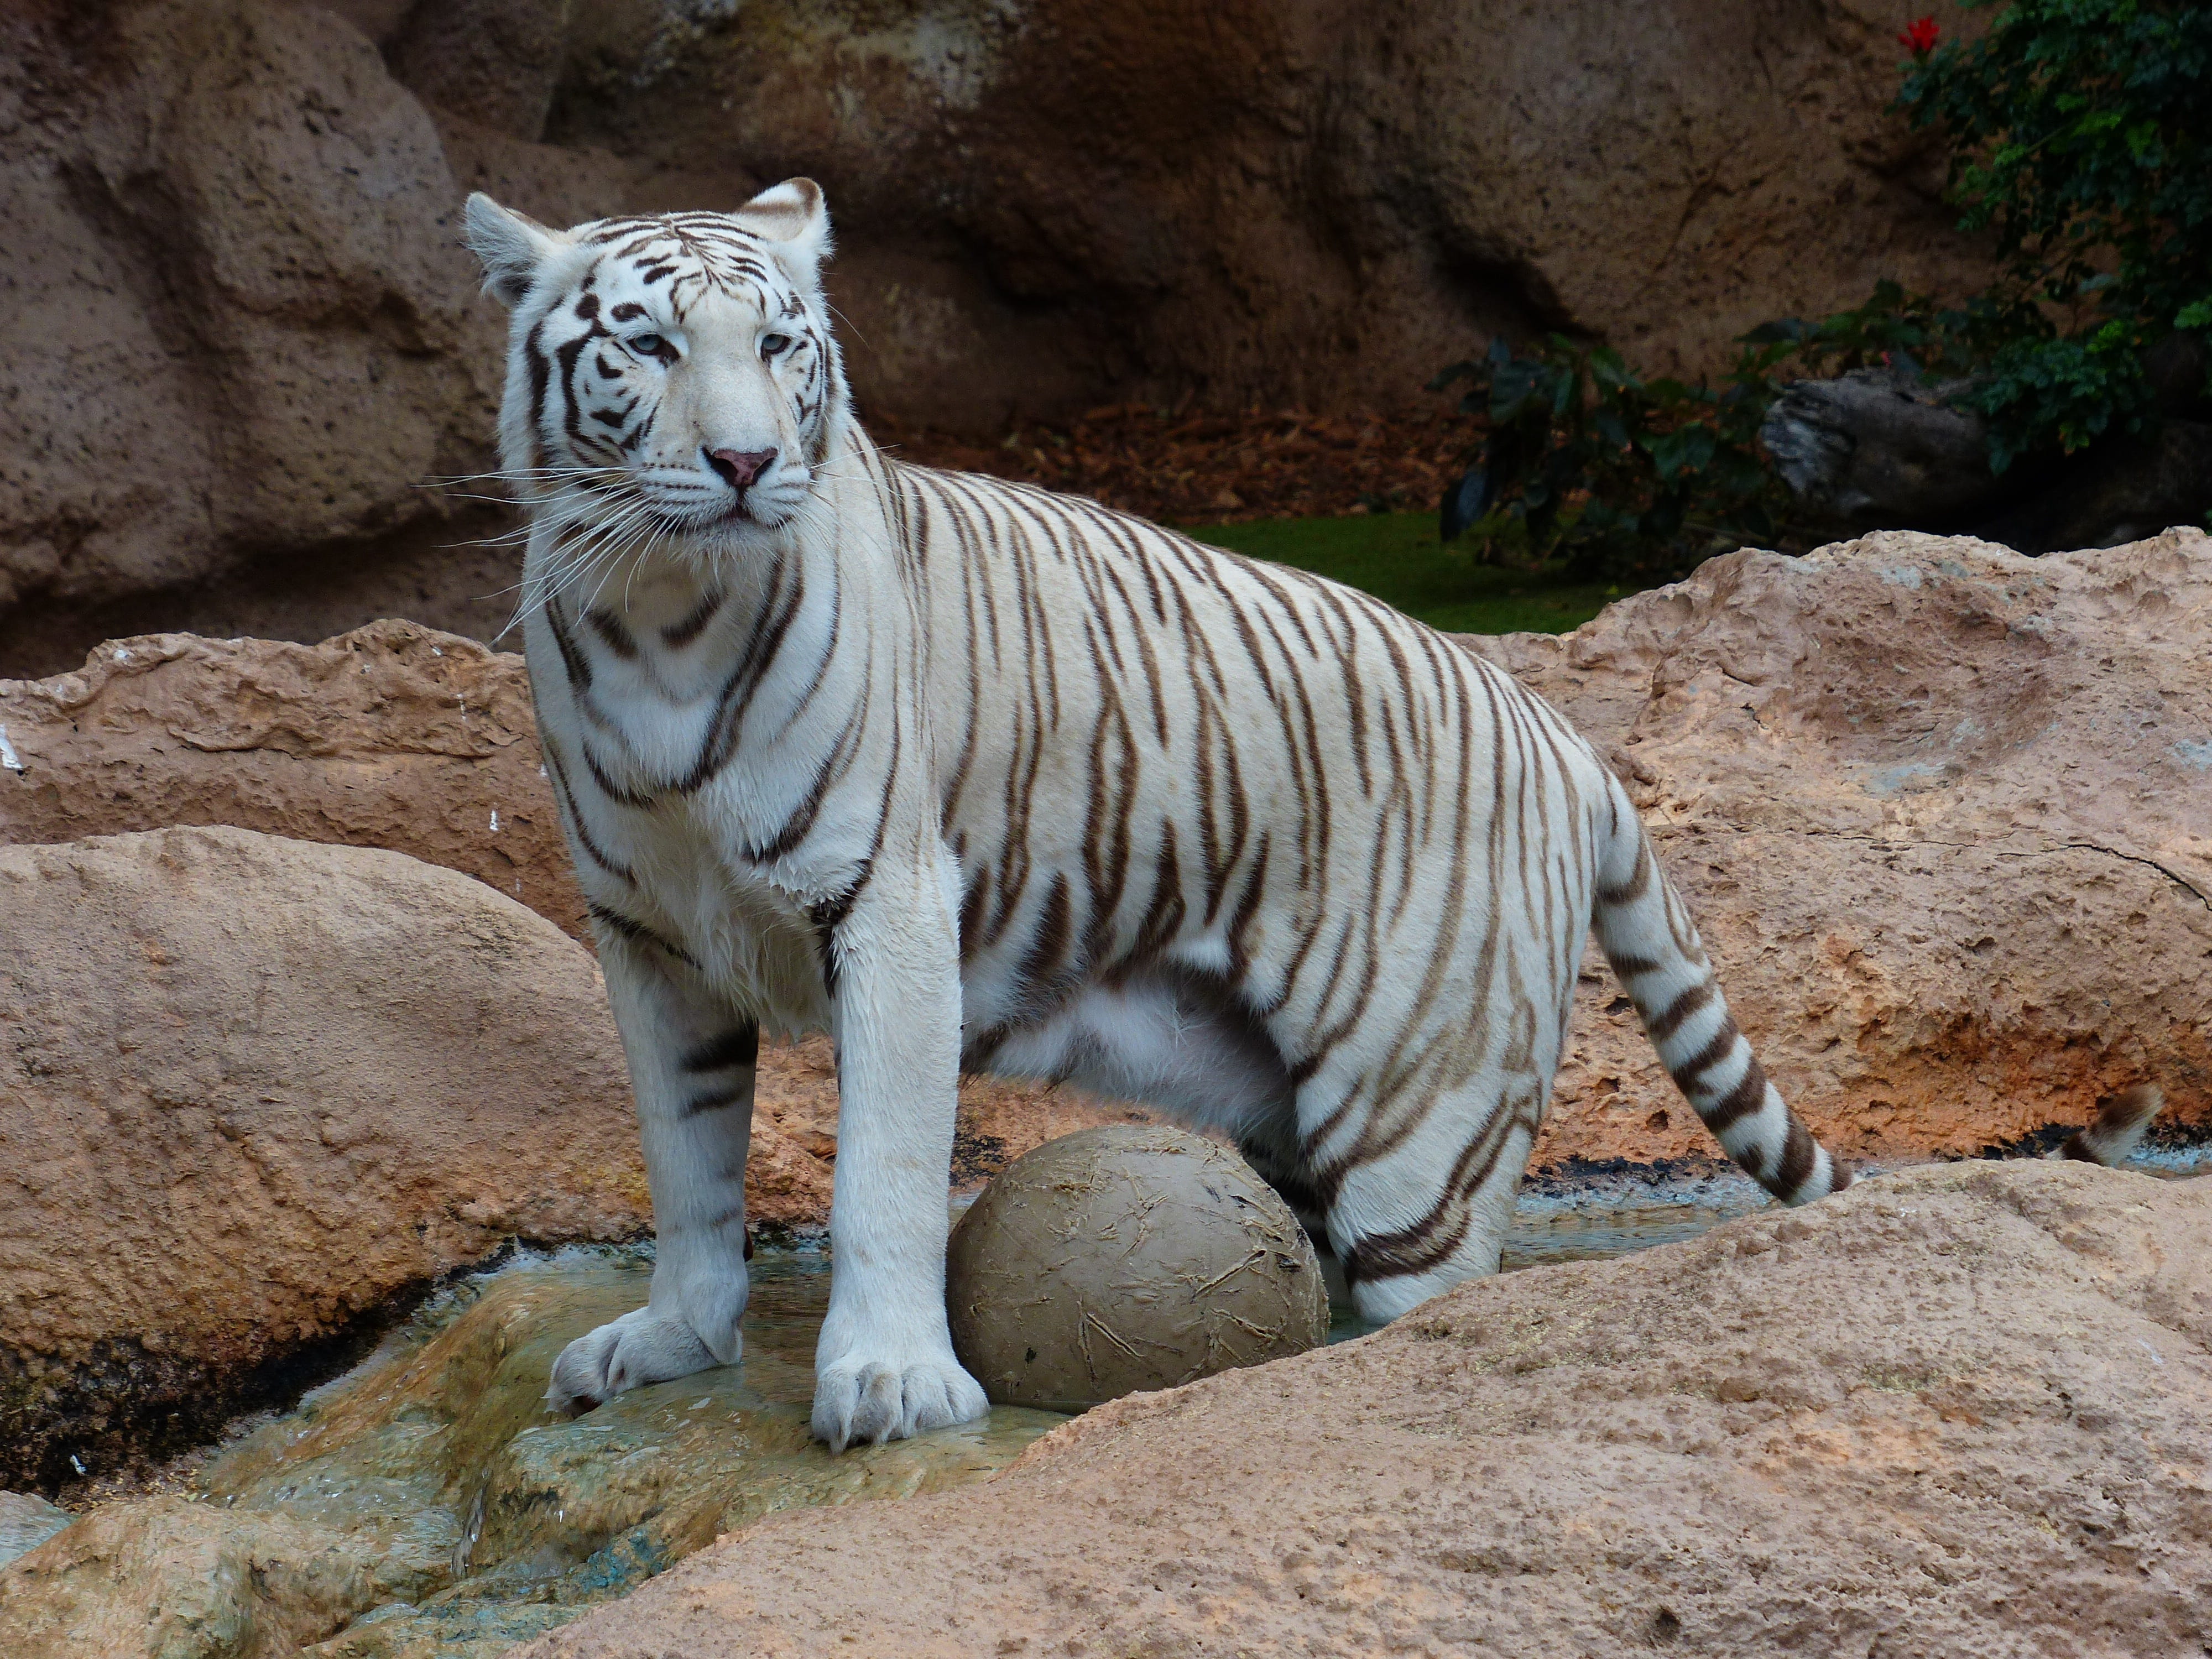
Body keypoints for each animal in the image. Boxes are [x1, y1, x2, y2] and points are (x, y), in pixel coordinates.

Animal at [458, 179, 2131, 1453]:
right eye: (647, 345)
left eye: (779, 344)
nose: (746, 462)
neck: (660, 612)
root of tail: (1561, 734)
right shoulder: (647, 935)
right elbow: (686, 1167)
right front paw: (672, 1339)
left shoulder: (888, 900)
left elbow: (879, 1162)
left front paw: (886, 1381)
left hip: (1418, 1131)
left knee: (1448, 1306)